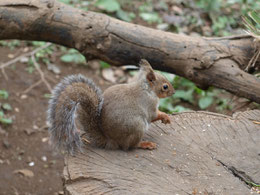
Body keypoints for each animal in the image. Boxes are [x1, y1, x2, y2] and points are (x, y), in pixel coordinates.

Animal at [47, 59, 175, 154]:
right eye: (165, 86)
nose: (173, 92)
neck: (147, 89)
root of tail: (111, 141)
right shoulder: (149, 104)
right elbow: (153, 115)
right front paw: (165, 116)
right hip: (137, 126)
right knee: (129, 146)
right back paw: (145, 144)